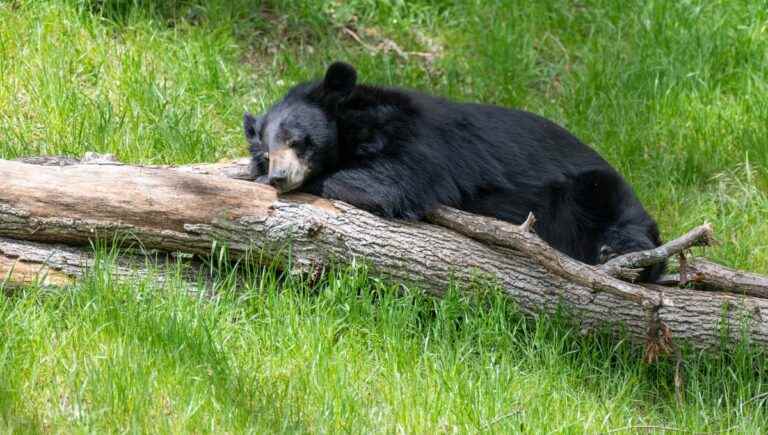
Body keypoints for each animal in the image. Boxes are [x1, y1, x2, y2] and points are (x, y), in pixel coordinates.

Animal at [243, 62, 664, 282]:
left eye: (297, 140)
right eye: (266, 151)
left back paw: (621, 252)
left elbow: (394, 181)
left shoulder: (419, 140)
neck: (353, 125)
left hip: (592, 188)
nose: (279, 177)